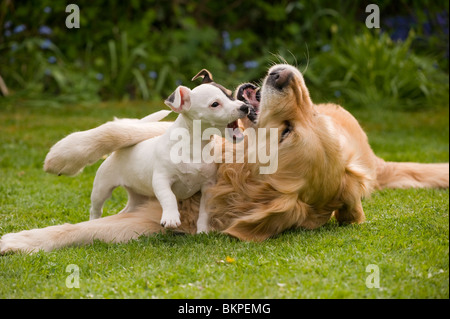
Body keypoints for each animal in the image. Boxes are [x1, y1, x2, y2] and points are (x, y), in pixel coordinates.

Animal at [89, 71, 251, 234]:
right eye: (215, 104)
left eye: (230, 95)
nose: (245, 107)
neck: (195, 146)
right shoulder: (161, 180)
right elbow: (169, 197)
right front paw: (171, 218)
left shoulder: (208, 186)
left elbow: (204, 211)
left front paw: (203, 231)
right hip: (102, 188)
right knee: (96, 208)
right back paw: (93, 221)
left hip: (139, 197)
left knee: (127, 211)